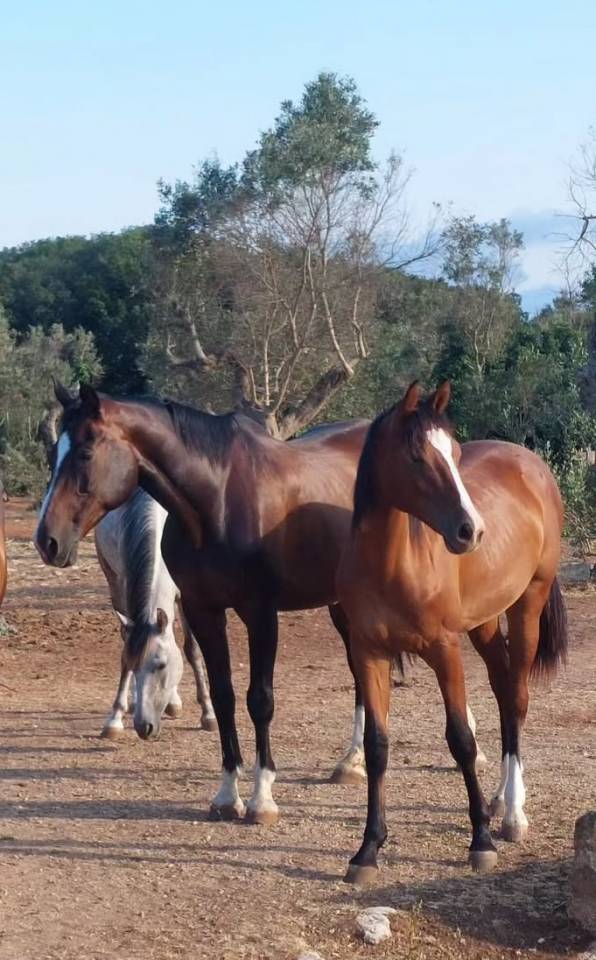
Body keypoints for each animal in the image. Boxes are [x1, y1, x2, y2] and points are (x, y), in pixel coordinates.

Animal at [94, 488, 216, 738]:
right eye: (134, 665)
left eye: (161, 665)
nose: (144, 727)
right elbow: (126, 647)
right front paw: (115, 718)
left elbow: (192, 650)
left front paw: (208, 713)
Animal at [337, 381, 567, 883]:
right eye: (416, 456)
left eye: (456, 453)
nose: (471, 531)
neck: (393, 566)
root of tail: (531, 463)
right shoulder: (369, 653)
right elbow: (377, 746)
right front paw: (368, 849)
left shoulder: (445, 651)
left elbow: (461, 739)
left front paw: (480, 841)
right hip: (484, 623)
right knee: (503, 691)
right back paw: (499, 799)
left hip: (527, 605)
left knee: (517, 697)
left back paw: (512, 814)